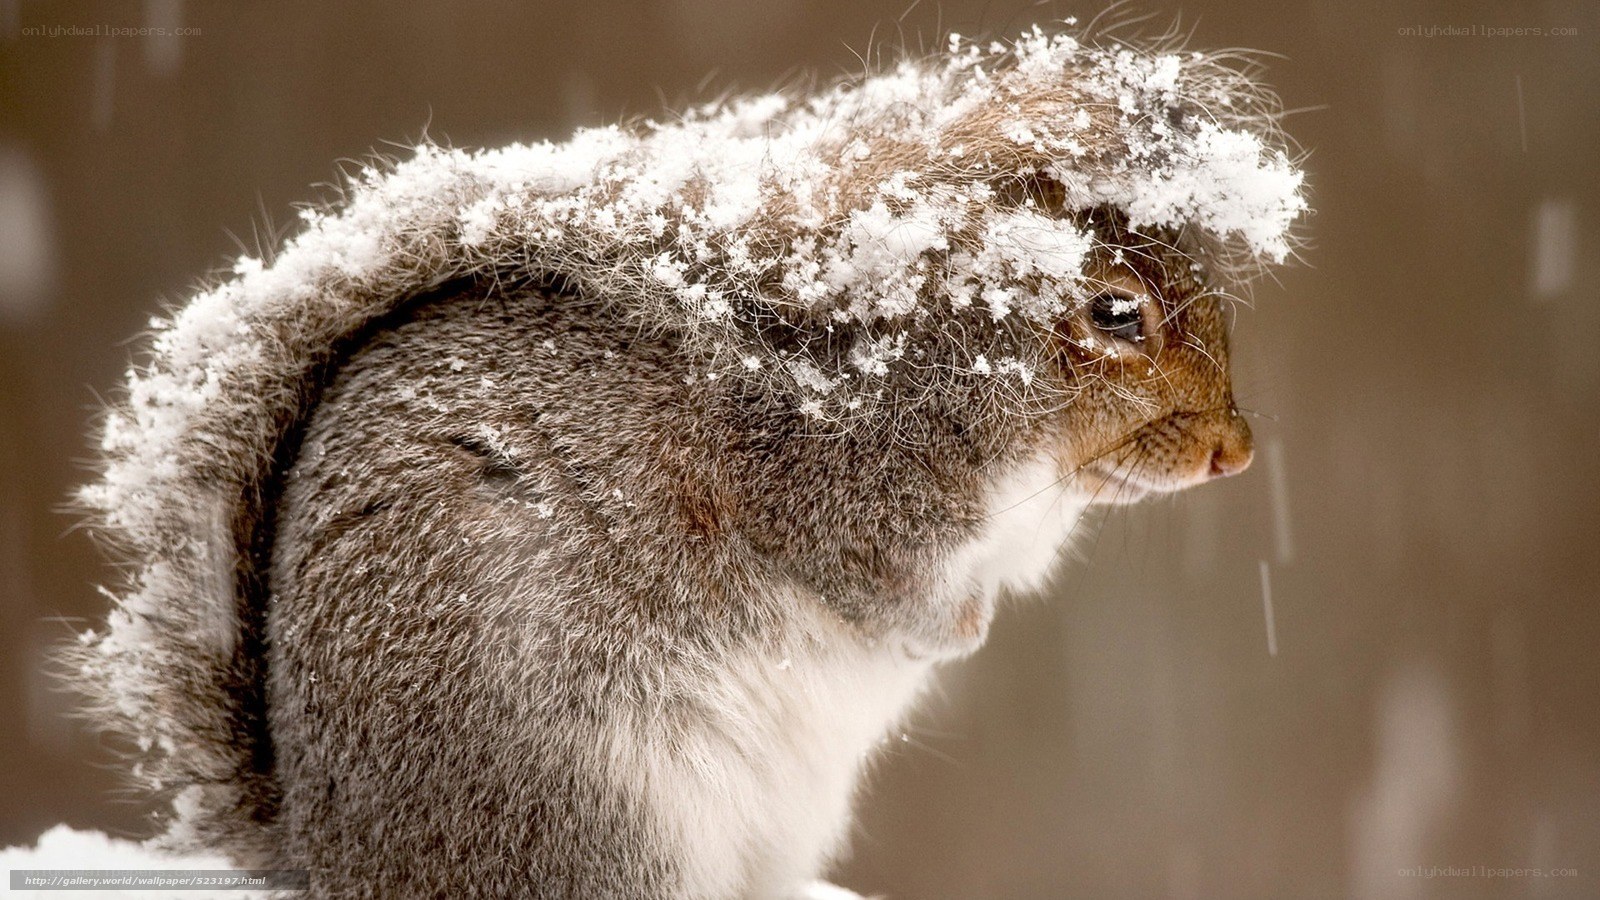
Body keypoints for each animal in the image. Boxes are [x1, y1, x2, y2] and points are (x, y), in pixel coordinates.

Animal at [67, 26, 1305, 899]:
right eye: (1114, 313)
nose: (1235, 452)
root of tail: (339, 850)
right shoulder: (831, 493)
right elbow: (878, 589)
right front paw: (951, 633)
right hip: (595, 807)